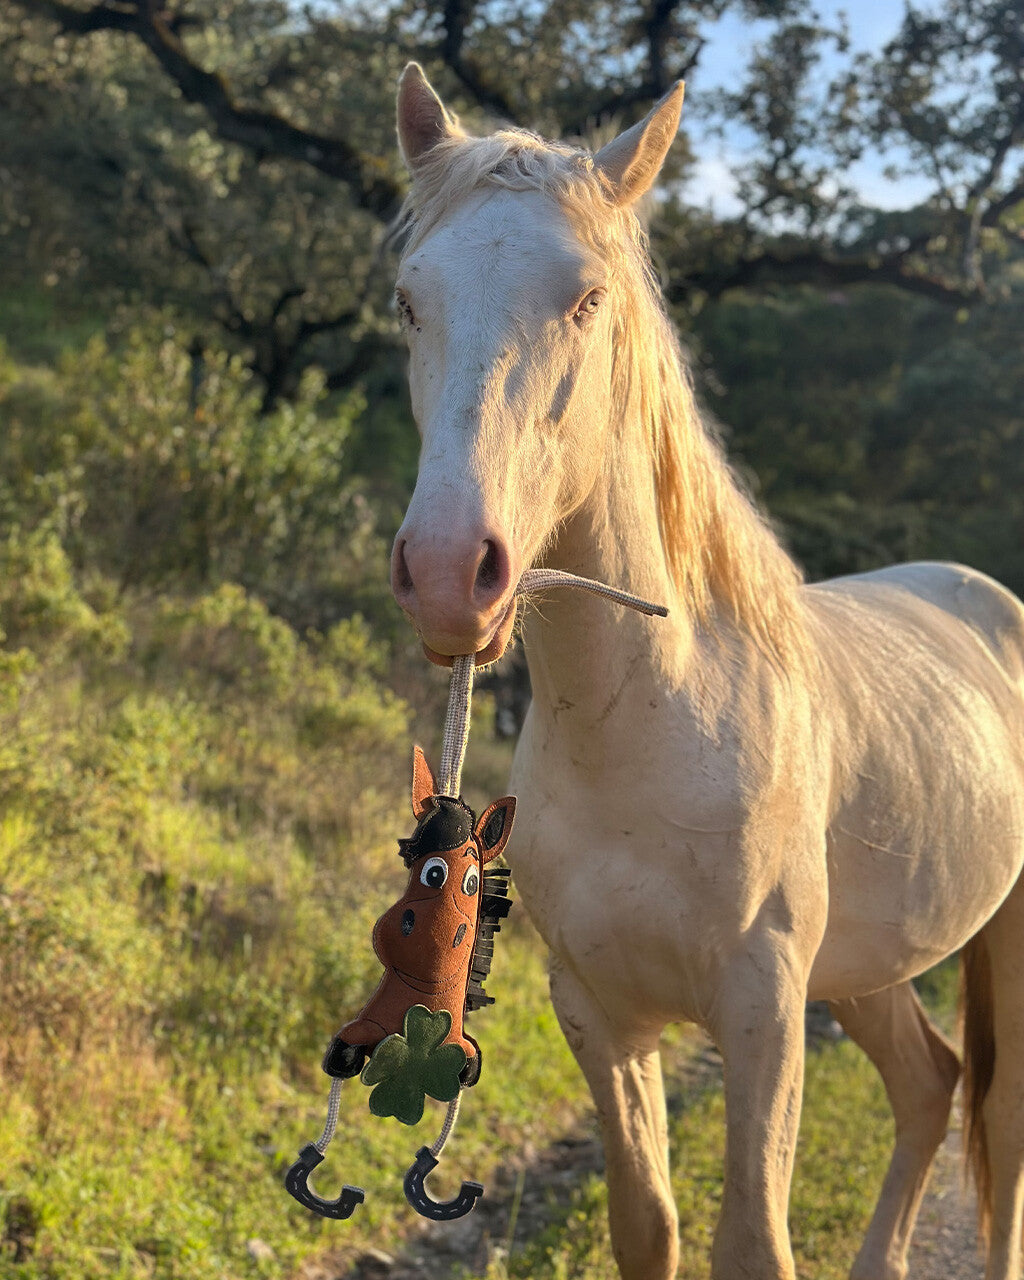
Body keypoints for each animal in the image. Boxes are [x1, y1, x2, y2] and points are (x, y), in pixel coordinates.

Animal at [386, 61, 1024, 1280]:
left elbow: (752, 1240)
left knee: (1000, 1125)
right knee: (930, 1085)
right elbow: (649, 1224)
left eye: (586, 299)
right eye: (407, 300)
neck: (653, 724)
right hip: (869, 969)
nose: (449, 574)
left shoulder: (763, 1013)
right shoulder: (600, 1015)